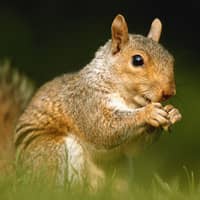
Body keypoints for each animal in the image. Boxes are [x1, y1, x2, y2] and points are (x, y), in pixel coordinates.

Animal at [0, 14, 182, 188]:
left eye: (171, 59)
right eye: (137, 60)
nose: (169, 92)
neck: (129, 101)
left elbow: (133, 148)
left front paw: (172, 112)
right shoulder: (86, 101)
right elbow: (102, 128)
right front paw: (148, 113)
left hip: (120, 169)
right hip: (50, 151)